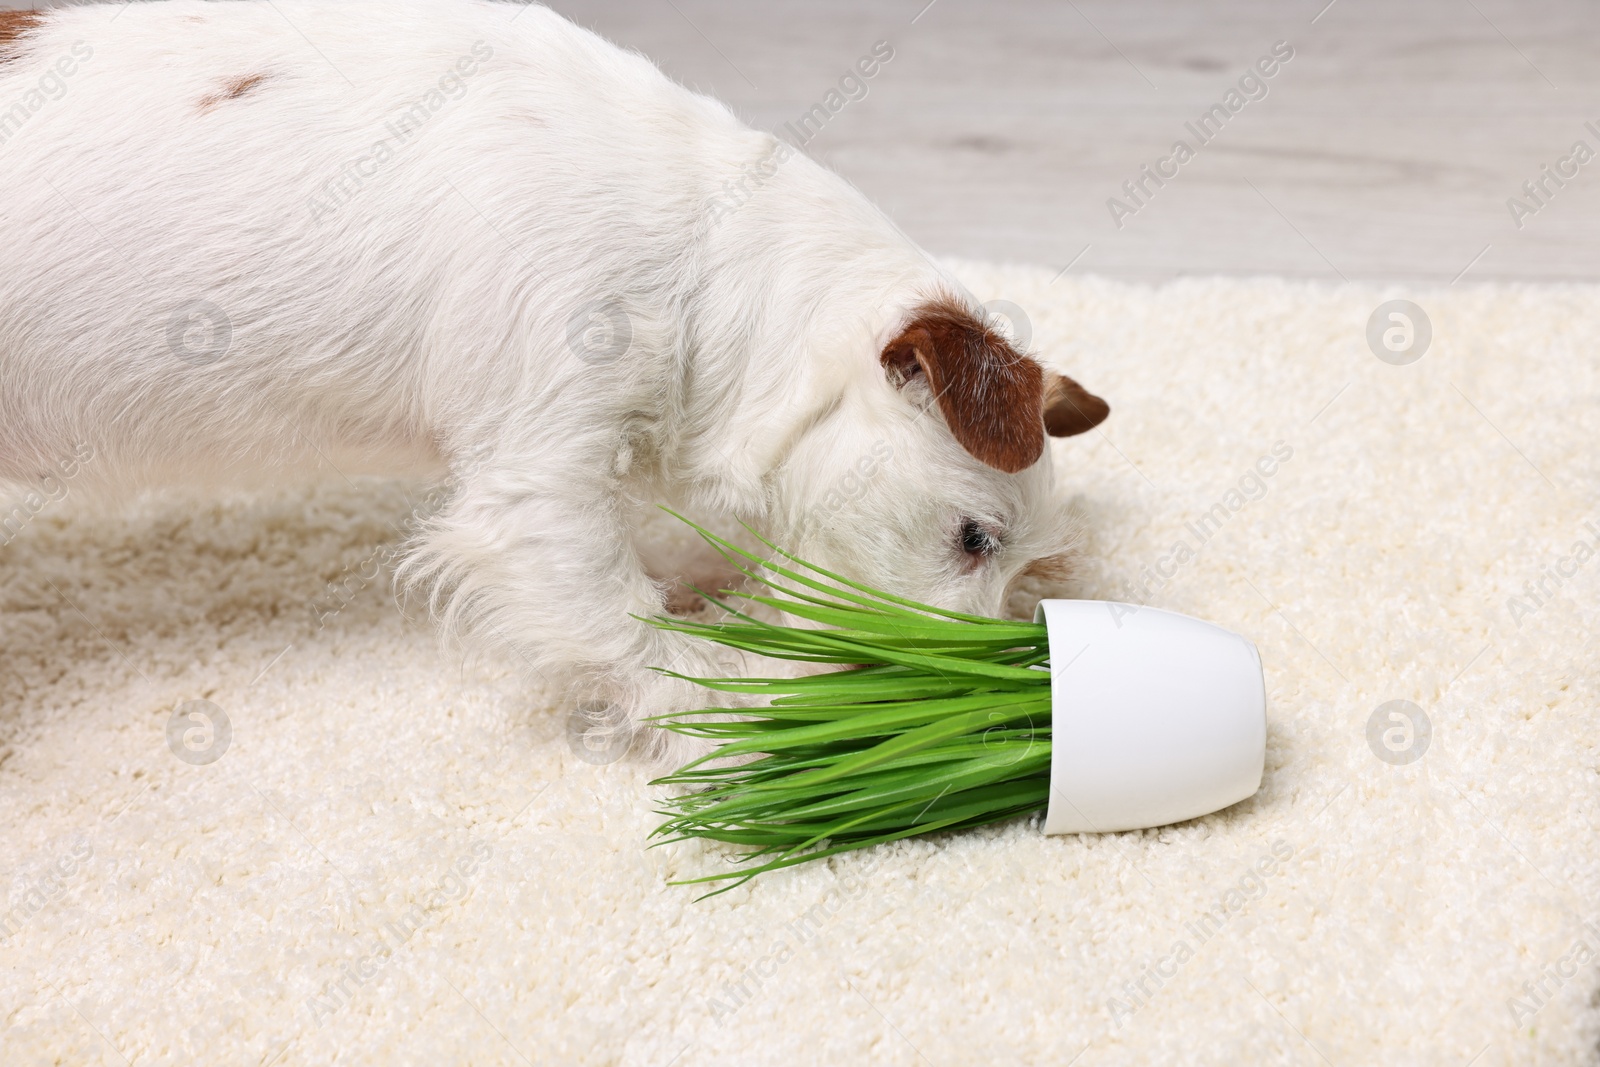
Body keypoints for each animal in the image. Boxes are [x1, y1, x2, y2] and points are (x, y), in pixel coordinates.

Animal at [0, 0, 1107, 758]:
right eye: (974, 537)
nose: (967, 697)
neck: (702, 251)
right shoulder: (537, 484)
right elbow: (634, 627)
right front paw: (751, 696)